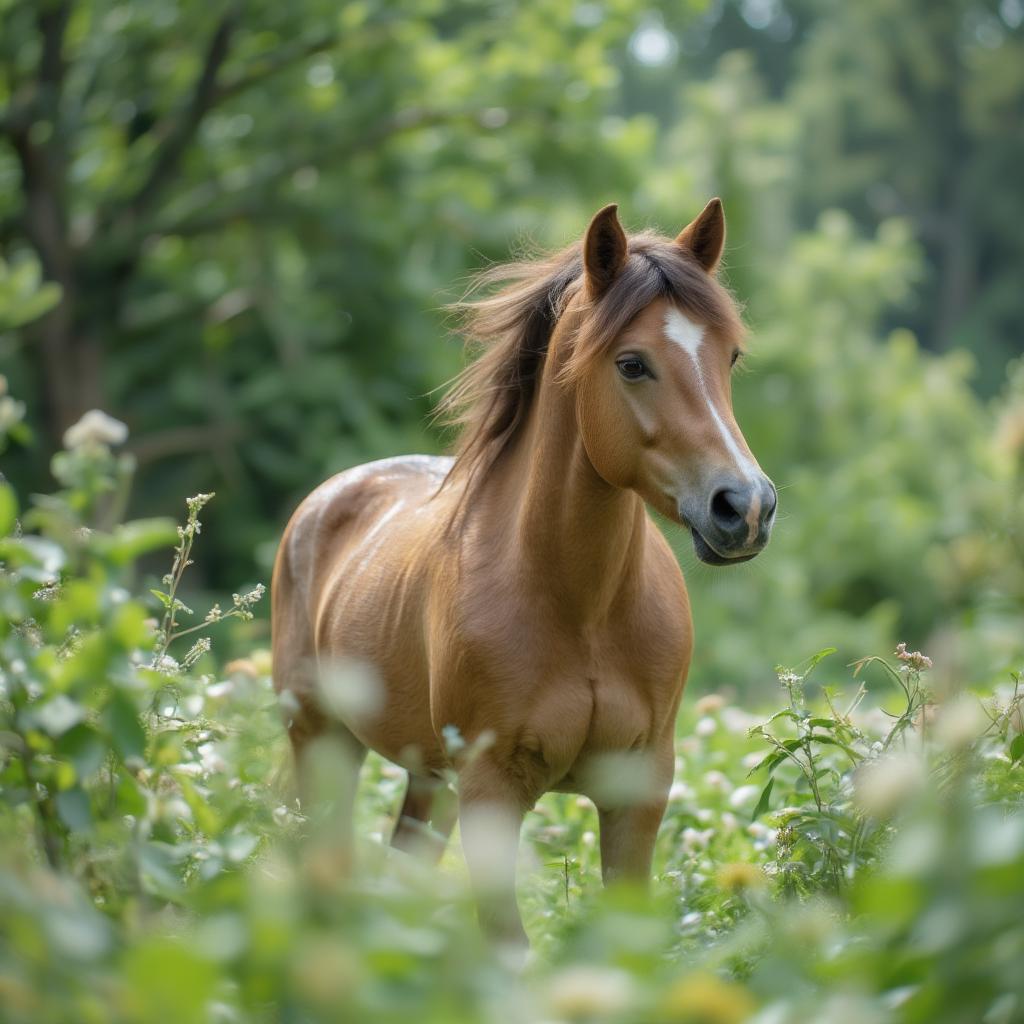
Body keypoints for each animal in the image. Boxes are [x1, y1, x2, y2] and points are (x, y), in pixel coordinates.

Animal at [272, 197, 774, 942]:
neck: (582, 607)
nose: (745, 506)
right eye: (632, 364)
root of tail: (328, 498)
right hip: (324, 743)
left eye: (729, 355)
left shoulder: (639, 793)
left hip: (430, 779)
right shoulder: (492, 793)